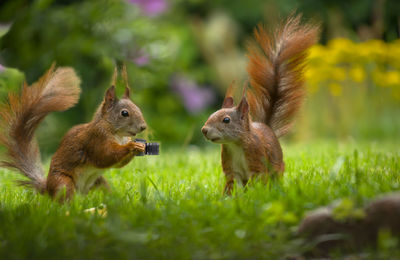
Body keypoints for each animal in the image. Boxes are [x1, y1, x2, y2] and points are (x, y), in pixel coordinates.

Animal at [0, 63, 148, 201]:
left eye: (138, 108)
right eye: (124, 113)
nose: (143, 127)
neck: (118, 134)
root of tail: (47, 188)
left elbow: (118, 163)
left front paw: (139, 147)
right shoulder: (96, 139)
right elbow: (106, 156)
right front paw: (131, 146)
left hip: (98, 183)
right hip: (63, 183)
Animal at [202, 13, 320, 194]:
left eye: (226, 120)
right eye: (210, 115)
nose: (204, 130)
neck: (235, 145)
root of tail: (268, 128)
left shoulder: (257, 163)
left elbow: (256, 181)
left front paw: (253, 195)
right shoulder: (232, 169)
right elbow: (232, 184)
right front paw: (228, 197)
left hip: (277, 166)